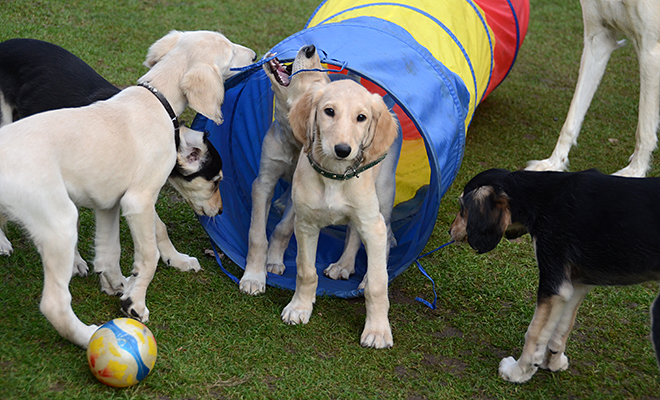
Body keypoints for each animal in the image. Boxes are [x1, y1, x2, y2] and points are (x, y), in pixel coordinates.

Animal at [0, 38, 223, 272]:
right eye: (216, 181)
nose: (220, 211)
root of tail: (6, 43)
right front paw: (75, 261)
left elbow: (159, 227)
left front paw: (176, 258)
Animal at [448, 167, 660, 382]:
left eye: (462, 206)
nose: (450, 231)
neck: (543, 197)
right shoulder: (575, 285)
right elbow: (562, 328)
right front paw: (552, 361)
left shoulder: (554, 282)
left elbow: (534, 333)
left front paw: (519, 372)